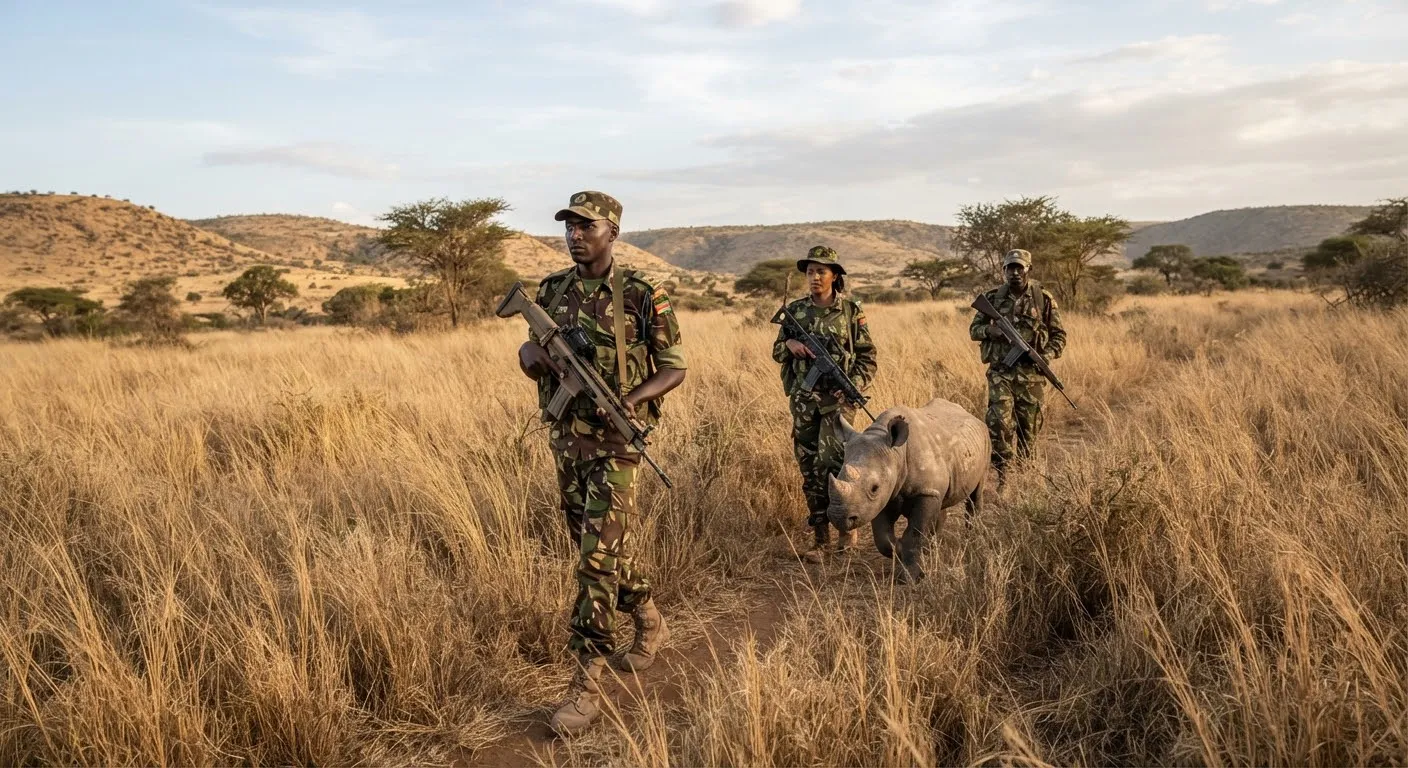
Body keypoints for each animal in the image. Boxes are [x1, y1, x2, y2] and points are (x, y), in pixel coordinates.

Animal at [827, 397, 990, 583]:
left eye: (874, 488)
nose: (838, 517)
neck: (897, 453)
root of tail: (972, 416)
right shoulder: (886, 496)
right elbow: (882, 538)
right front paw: (900, 550)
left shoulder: (923, 492)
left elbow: (916, 532)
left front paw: (910, 577)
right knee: (941, 503)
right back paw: (930, 549)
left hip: (984, 442)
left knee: (976, 494)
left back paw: (972, 541)